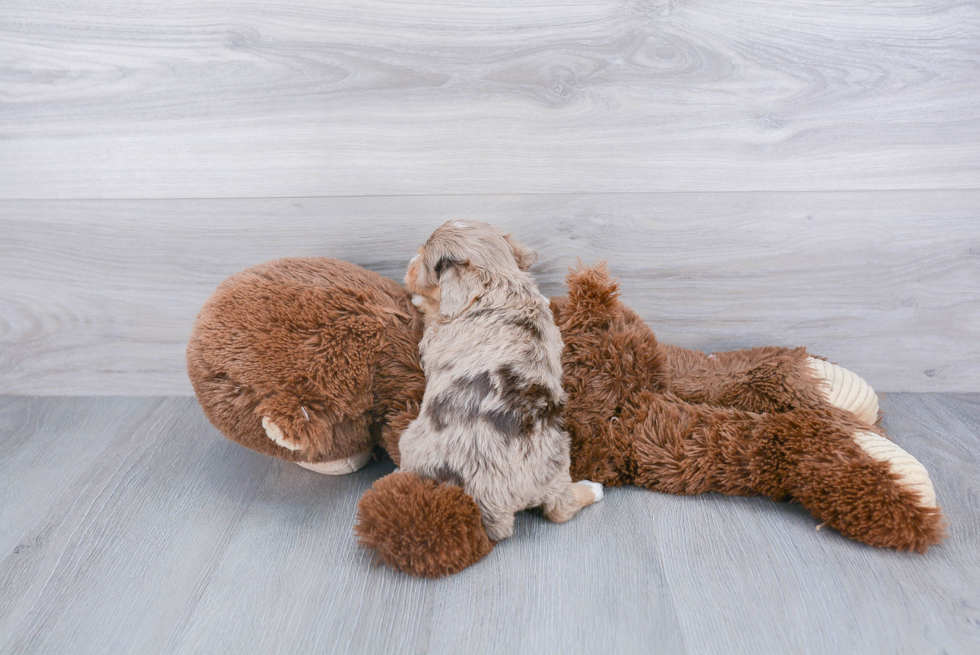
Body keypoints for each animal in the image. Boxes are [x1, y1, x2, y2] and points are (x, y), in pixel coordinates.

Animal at [396, 222, 596, 544]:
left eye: (424, 262)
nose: (408, 265)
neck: (499, 278)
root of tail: (501, 503)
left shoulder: (435, 334)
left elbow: (431, 312)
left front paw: (420, 300)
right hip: (557, 465)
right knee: (561, 509)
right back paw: (590, 488)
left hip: (411, 443)